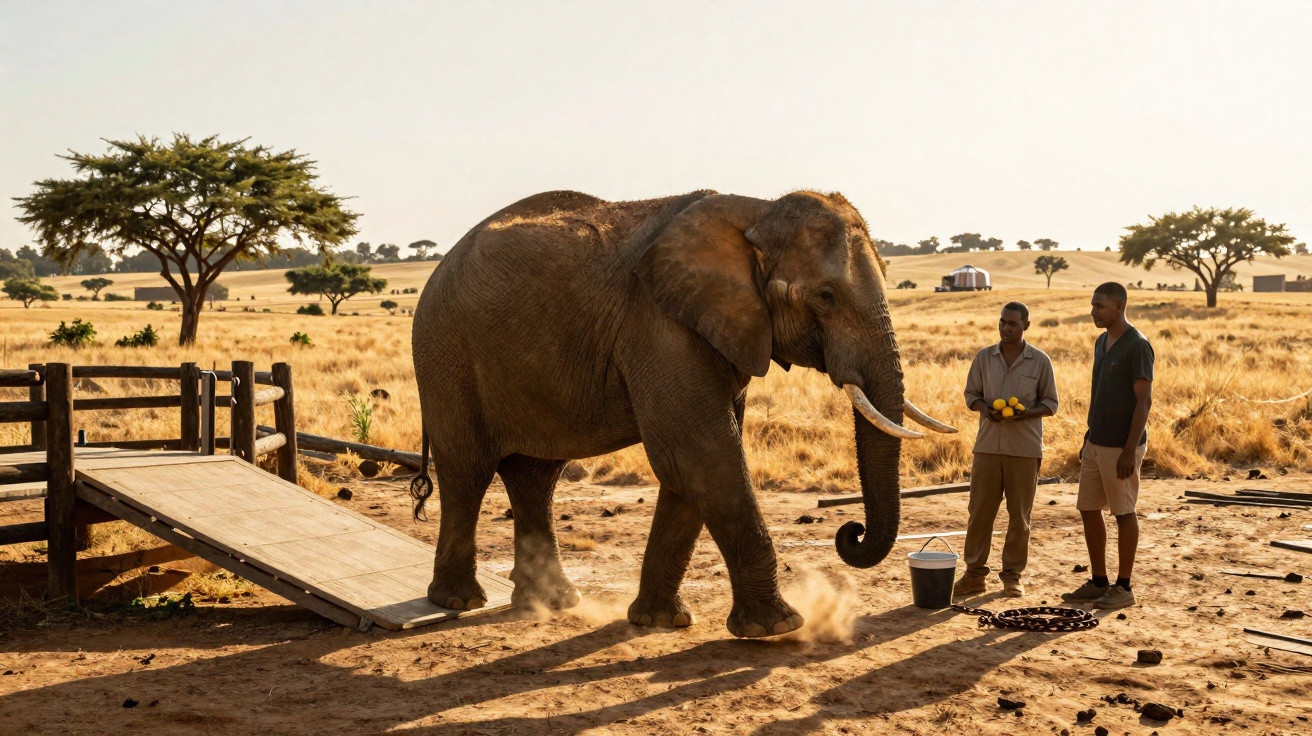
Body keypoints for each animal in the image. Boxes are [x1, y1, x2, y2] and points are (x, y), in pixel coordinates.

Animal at [411, 189, 955, 638]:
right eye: (826, 296)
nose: (850, 531)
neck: (756, 210)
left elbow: (691, 466)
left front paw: (660, 622)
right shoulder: (660, 327)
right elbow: (700, 454)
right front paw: (777, 628)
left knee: (535, 478)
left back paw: (553, 603)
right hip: (445, 354)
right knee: (467, 473)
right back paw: (460, 602)